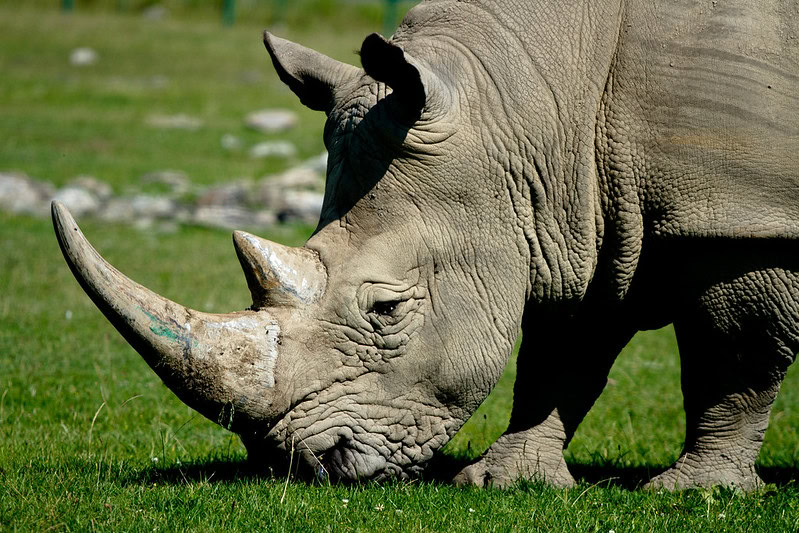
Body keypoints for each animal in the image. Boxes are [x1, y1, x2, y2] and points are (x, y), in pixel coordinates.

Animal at [53, 0, 799, 490]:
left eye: (385, 310)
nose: (301, 465)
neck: (534, 105)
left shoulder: (742, 218)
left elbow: (734, 358)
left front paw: (697, 491)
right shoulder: (576, 220)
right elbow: (560, 356)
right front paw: (508, 482)